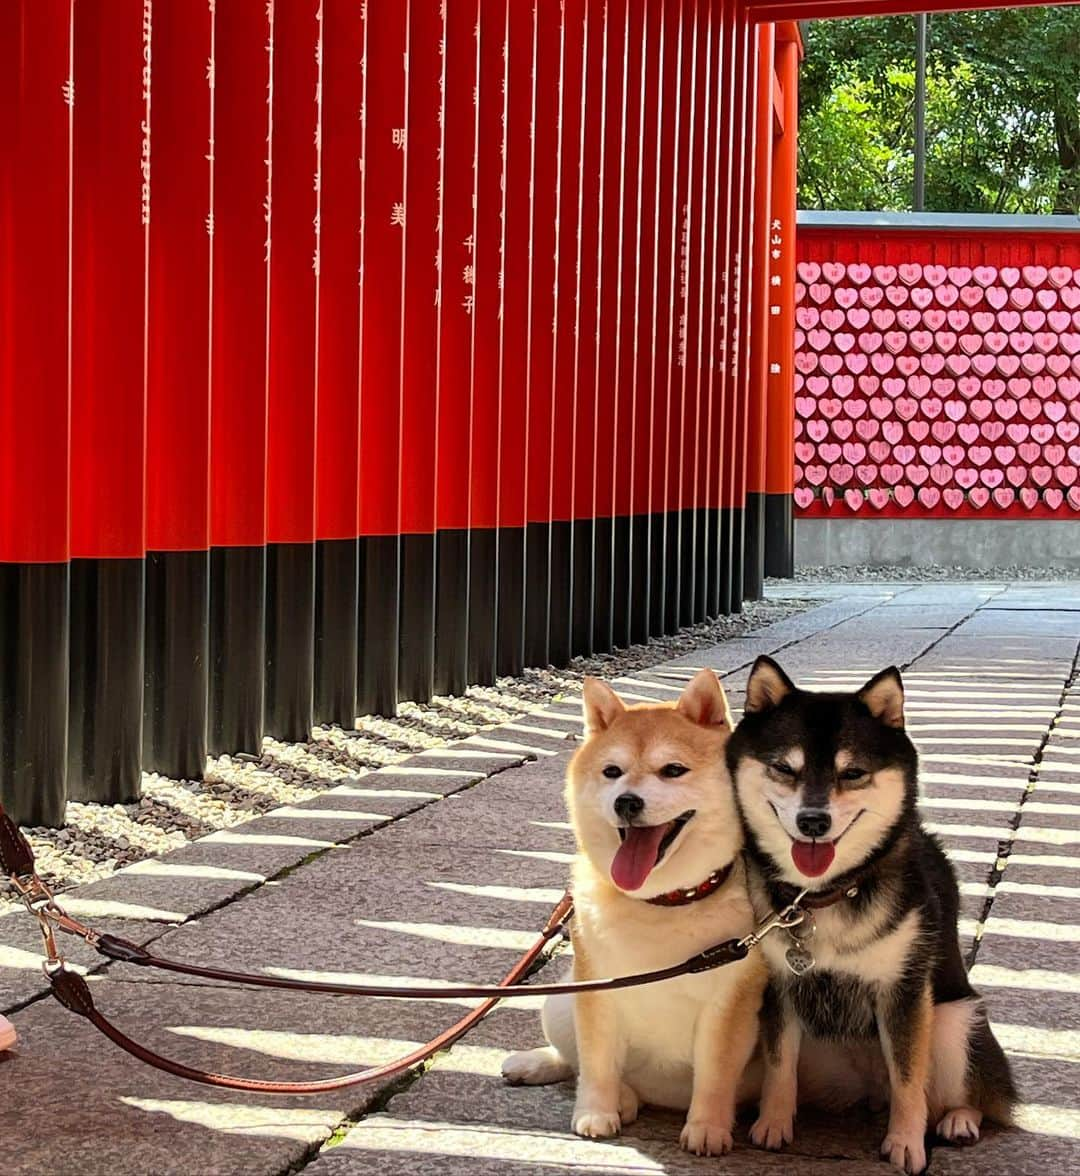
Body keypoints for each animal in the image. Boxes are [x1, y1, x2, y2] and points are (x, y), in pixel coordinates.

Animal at [503, 667, 767, 1152]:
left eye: (673, 770)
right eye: (612, 772)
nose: (626, 801)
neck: (662, 903)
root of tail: (658, 1097)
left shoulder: (730, 1001)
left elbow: (716, 1073)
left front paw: (708, 1127)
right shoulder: (596, 988)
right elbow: (596, 1062)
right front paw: (596, 1112)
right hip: (559, 999)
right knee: (574, 1058)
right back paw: (556, 1072)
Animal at [729, 658, 1016, 1171]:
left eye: (853, 773)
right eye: (783, 768)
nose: (813, 821)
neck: (825, 896)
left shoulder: (904, 992)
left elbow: (909, 1078)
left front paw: (905, 1143)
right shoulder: (779, 987)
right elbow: (779, 1065)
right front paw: (773, 1124)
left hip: (954, 1020)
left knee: (972, 1095)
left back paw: (958, 1120)